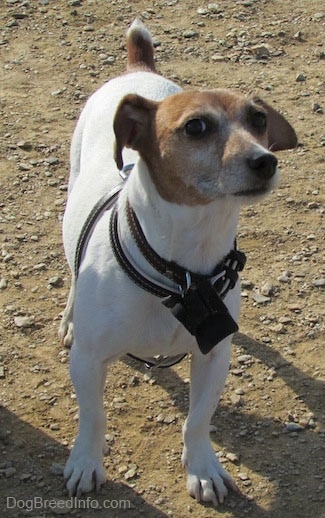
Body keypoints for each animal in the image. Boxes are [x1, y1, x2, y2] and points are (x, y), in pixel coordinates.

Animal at [59, 18, 298, 506]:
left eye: (259, 119)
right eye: (196, 126)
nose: (265, 161)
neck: (185, 272)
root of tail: (138, 72)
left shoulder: (214, 356)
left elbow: (197, 421)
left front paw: (203, 468)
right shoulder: (89, 361)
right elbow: (93, 417)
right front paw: (86, 462)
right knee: (72, 268)